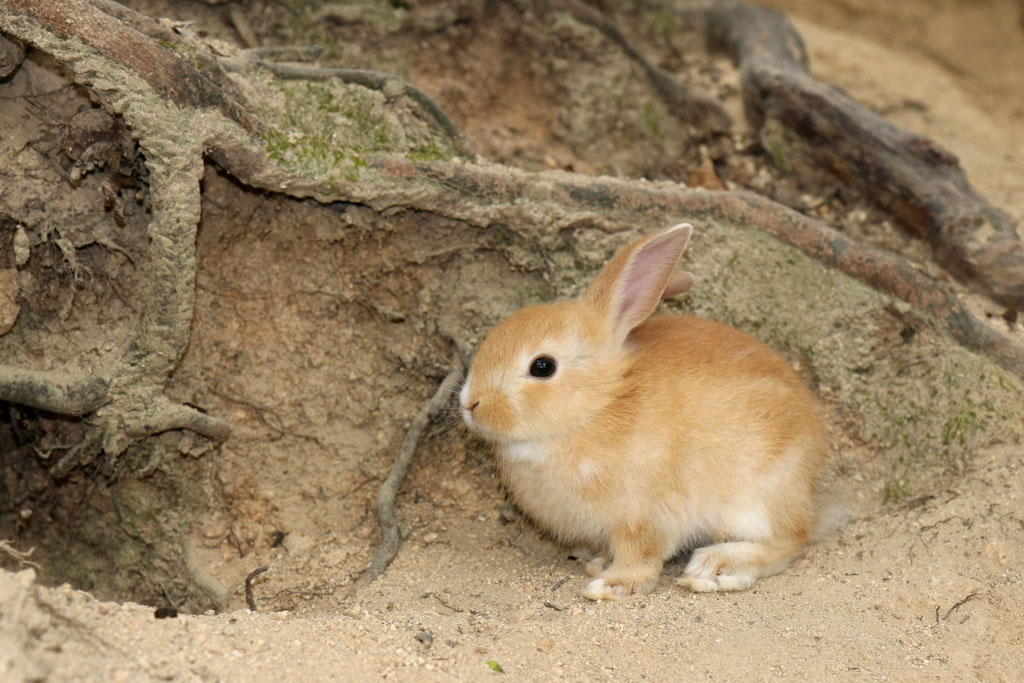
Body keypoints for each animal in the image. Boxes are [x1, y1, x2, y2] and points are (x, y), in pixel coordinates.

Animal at [459, 223, 827, 600]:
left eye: (543, 366)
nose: (470, 403)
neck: (599, 406)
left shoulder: (644, 517)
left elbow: (642, 555)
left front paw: (611, 585)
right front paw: (600, 565)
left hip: (760, 493)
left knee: (790, 541)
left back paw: (716, 567)